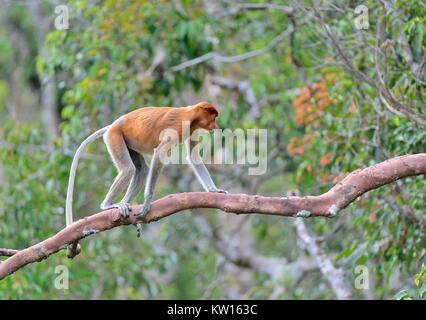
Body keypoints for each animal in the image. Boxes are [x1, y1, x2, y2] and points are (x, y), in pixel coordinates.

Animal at [65, 102, 228, 258]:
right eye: (213, 117)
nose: (216, 126)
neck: (190, 113)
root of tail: (113, 124)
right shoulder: (179, 126)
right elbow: (159, 154)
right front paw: (146, 204)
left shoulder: (192, 129)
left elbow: (193, 157)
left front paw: (214, 190)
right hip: (115, 136)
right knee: (128, 169)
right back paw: (108, 205)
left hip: (129, 142)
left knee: (142, 170)